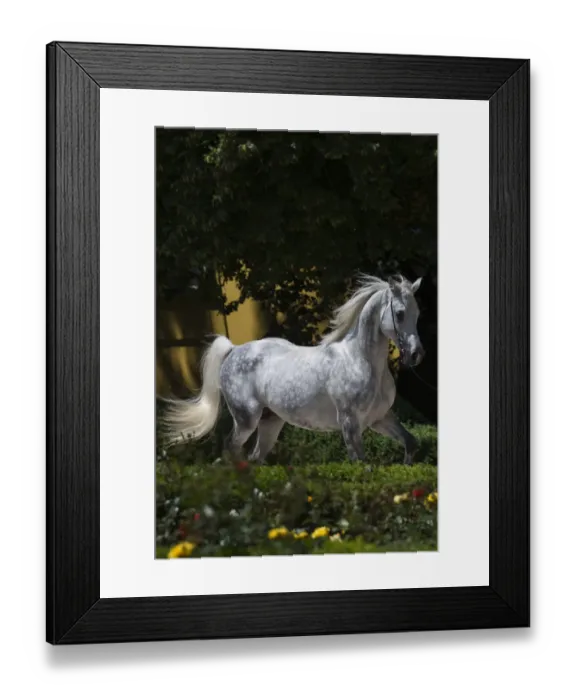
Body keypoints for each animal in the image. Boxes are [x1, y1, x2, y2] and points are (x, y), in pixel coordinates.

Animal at [162, 274, 425, 464]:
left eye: (418, 313)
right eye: (400, 314)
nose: (416, 354)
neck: (360, 360)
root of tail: (233, 350)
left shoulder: (379, 418)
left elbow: (411, 443)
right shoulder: (350, 423)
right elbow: (361, 463)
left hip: (270, 422)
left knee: (254, 457)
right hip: (246, 419)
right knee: (231, 449)